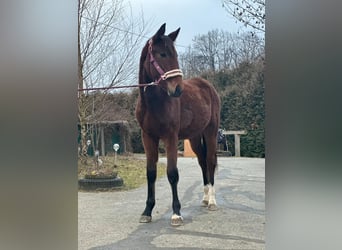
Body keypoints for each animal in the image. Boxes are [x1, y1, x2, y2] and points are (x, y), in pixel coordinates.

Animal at [135, 23, 220, 227]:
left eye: (175, 55)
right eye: (162, 54)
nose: (178, 89)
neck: (154, 104)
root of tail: (208, 86)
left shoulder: (170, 137)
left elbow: (172, 173)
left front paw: (176, 213)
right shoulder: (148, 137)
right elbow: (151, 172)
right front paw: (147, 211)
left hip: (211, 132)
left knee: (210, 161)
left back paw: (212, 201)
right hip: (195, 137)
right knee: (202, 161)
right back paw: (205, 198)